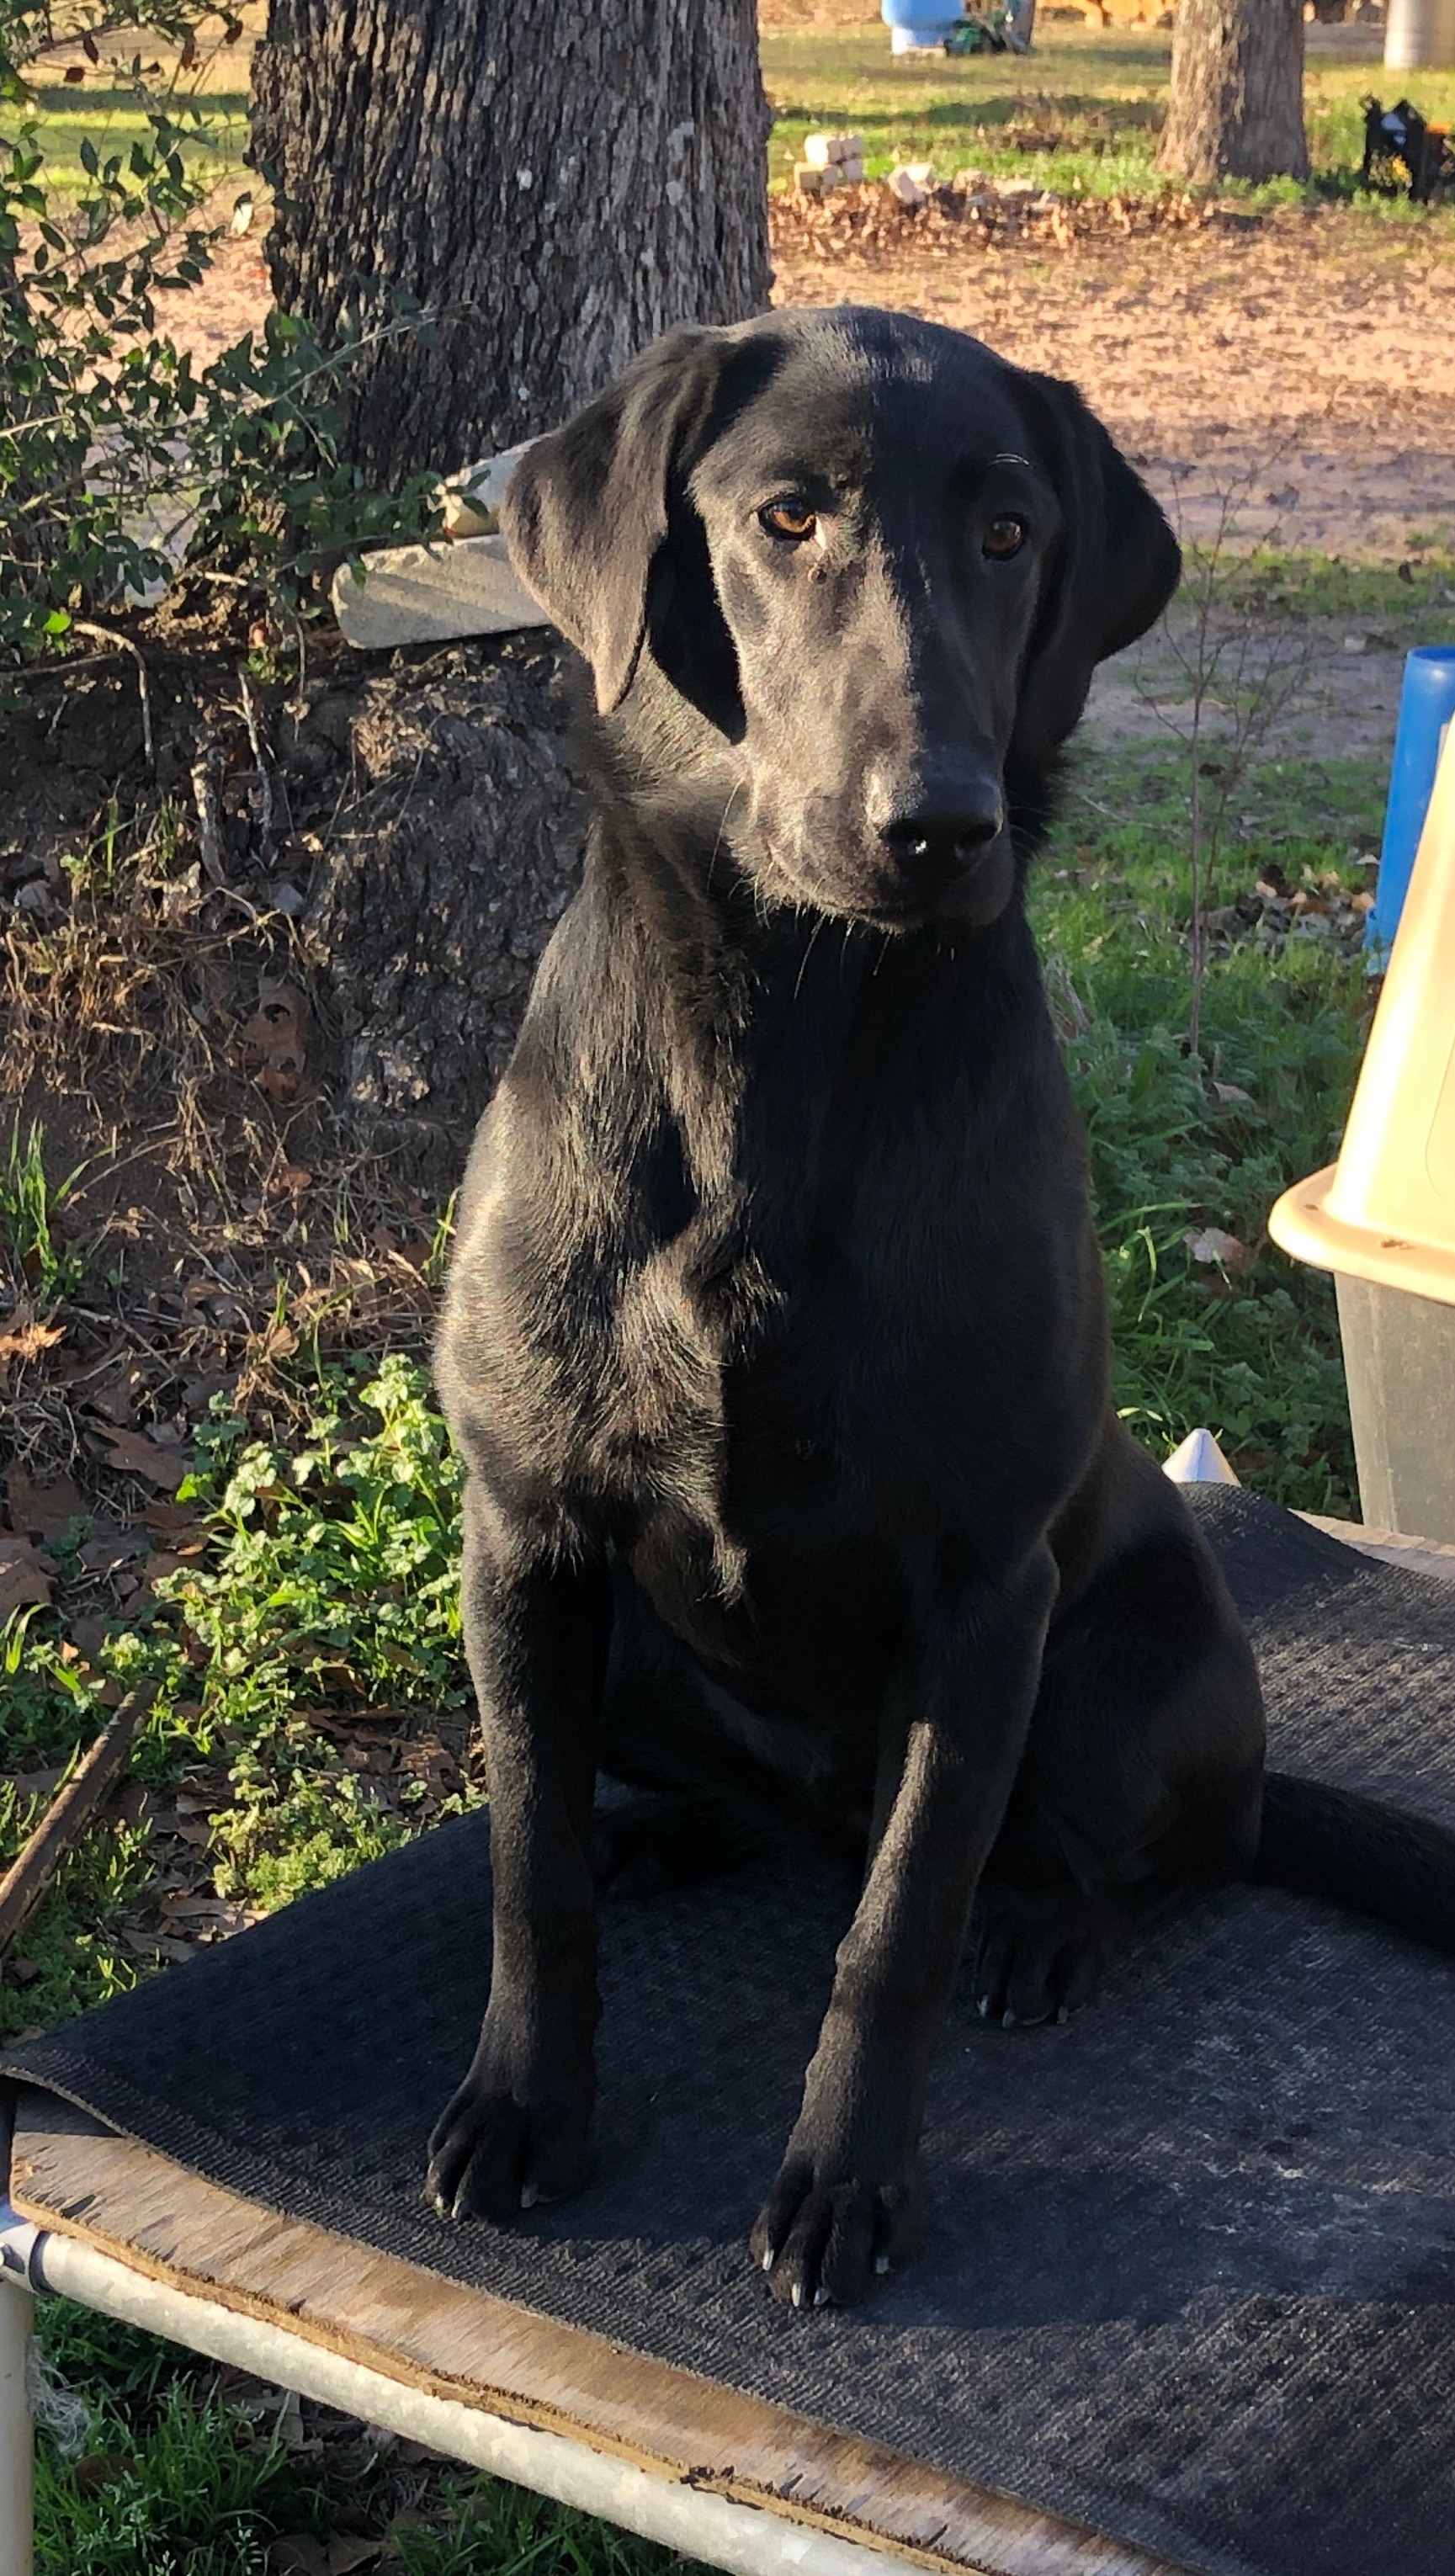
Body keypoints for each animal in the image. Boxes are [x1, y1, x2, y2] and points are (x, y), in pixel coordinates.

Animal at [422, 306, 1452, 2318]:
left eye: (1005, 531)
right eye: (783, 516)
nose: (936, 829)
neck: (790, 1038)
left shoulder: (985, 1592)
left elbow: (896, 1927)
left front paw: (846, 2180)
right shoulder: (524, 1531)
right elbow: (523, 1871)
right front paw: (523, 2103)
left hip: (1123, 1659)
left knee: (1138, 1855)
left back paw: (1042, 1928)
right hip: (638, 1652)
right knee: (729, 1812)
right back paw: (671, 1828)